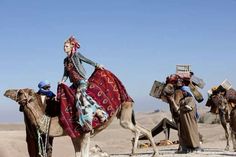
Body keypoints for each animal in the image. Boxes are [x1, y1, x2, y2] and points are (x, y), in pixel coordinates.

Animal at [3, 71, 159, 157]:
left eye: (21, 92)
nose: (6, 92)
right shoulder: (75, 136)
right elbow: (77, 155)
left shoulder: (85, 133)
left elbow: (84, 154)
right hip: (124, 112)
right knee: (143, 129)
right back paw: (147, 152)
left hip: (125, 110)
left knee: (137, 129)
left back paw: (147, 152)